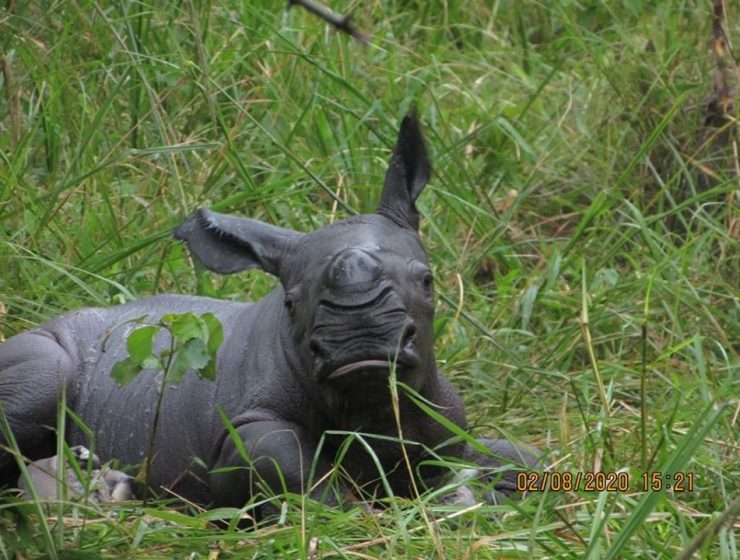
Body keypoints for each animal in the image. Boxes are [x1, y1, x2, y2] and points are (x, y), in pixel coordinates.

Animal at [0, 113, 536, 512]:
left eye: (426, 280)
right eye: (291, 303)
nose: (360, 340)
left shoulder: (443, 421)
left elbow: (518, 457)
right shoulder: (243, 432)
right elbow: (285, 461)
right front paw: (355, 513)